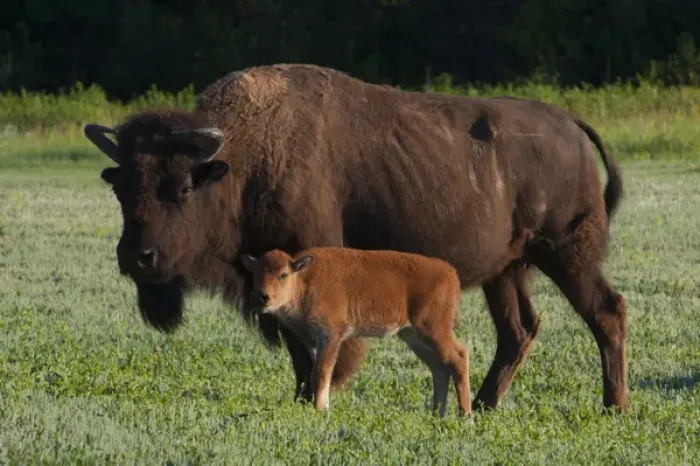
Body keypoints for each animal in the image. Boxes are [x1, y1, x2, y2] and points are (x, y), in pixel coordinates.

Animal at [84, 63, 627, 411]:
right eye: (121, 188)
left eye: (180, 188)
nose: (137, 257)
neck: (240, 162)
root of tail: (571, 126)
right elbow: (296, 345)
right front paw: (304, 398)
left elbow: (314, 348)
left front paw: (318, 397)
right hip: (507, 271)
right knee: (518, 331)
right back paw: (487, 404)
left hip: (567, 255)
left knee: (606, 311)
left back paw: (614, 405)